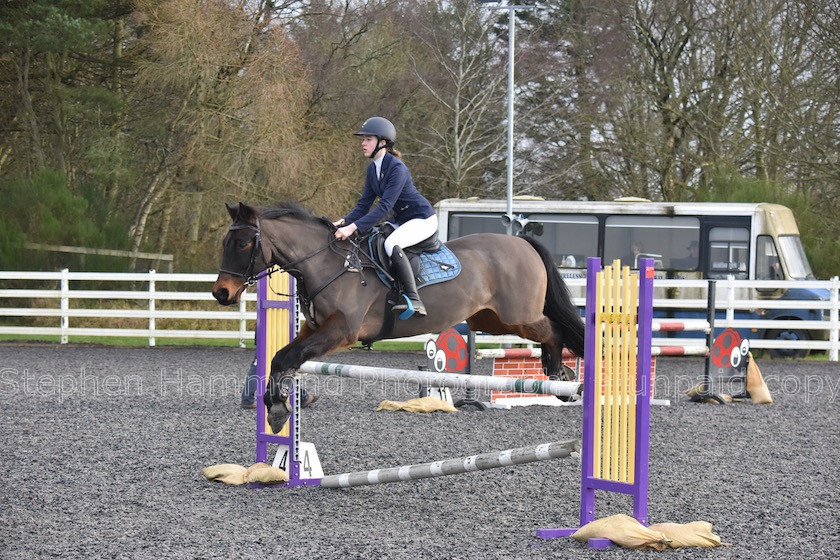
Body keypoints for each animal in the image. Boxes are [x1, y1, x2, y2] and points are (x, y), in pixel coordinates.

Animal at [212, 202, 584, 434]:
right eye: (226, 241)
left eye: (243, 243)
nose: (221, 293)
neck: (328, 264)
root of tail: (523, 242)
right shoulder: (315, 328)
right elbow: (280, 356)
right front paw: (278, 403)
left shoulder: (341, 331)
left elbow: (289, 356)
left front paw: (277, 407)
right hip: (492, 320)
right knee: (550, 331)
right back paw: (561, 379)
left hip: (518, 316)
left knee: (554, 330)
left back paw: (560, 378)